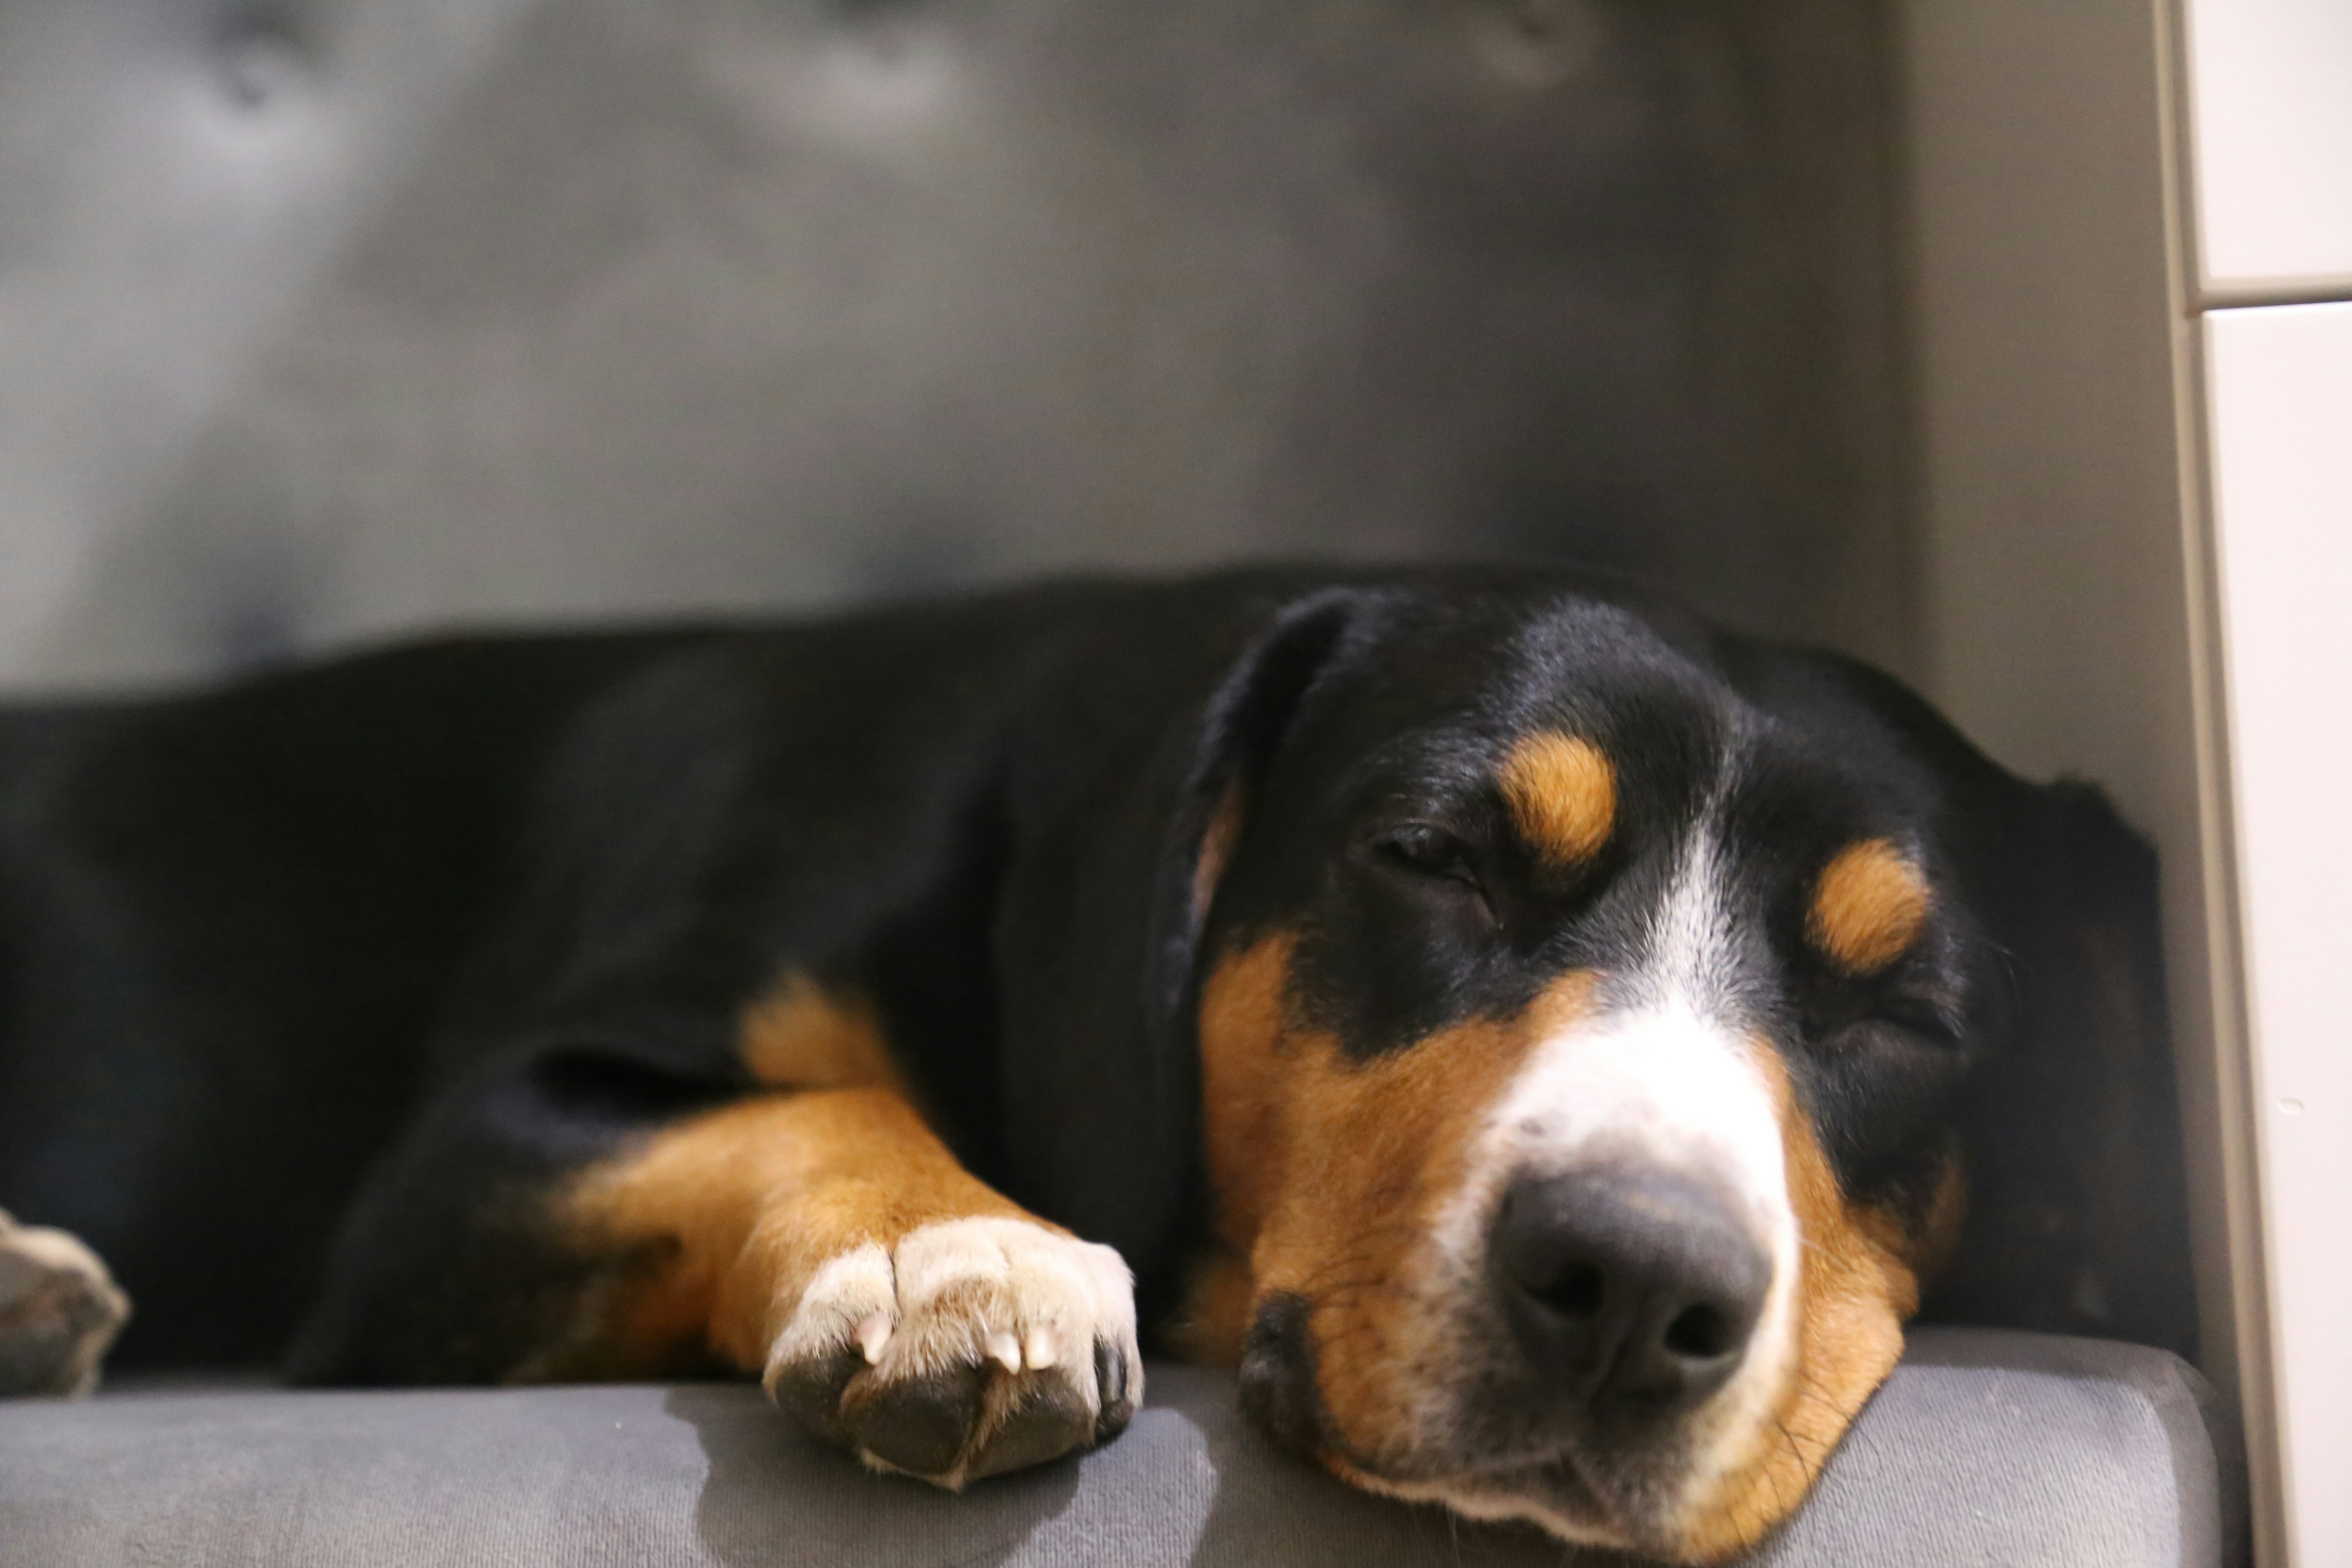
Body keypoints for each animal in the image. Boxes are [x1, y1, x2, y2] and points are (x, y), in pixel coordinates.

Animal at [0, 566, 2192, 1562]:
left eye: (1908, 1015)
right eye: (1434, 857)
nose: (1636, 1281)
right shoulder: (461, 1171)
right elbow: (823, 1098)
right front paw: (951, 1259)